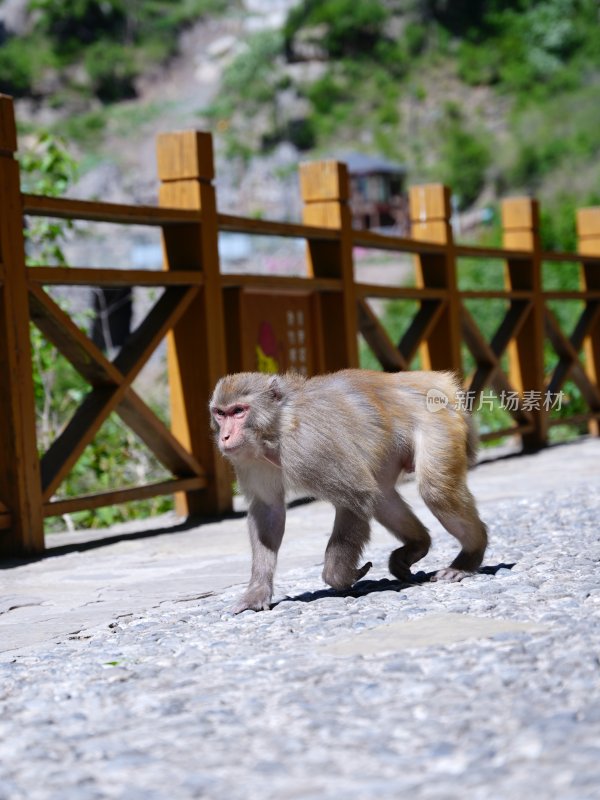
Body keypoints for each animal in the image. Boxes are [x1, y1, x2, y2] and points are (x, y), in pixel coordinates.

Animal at [211, 368, 488, 612]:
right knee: (383, 497)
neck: (278, 428)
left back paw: (470, 556)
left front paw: (340, 576)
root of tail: (433, 380)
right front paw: (257, 592)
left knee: (434, 490)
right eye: (220, 413)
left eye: (238, 411)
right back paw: (418, 545)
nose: (224, 437)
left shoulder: (310, 448)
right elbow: (269, 511)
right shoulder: (250, 460)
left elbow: (356, 496)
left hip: (437, 421)